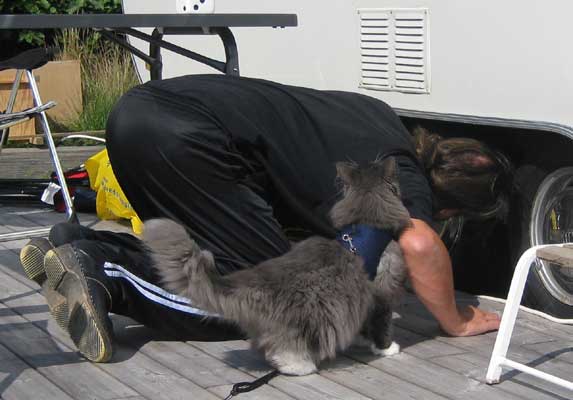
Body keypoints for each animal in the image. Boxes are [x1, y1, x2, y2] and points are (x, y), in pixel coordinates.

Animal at [145, 156, 408, 376]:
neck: (365, 223)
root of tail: (252, 281)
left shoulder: (364, 300)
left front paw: (363, 339)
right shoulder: (383, 294)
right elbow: (382, 326)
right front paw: (386, 348)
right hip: (307, 322)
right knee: (282, 351)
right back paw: (302, 367)